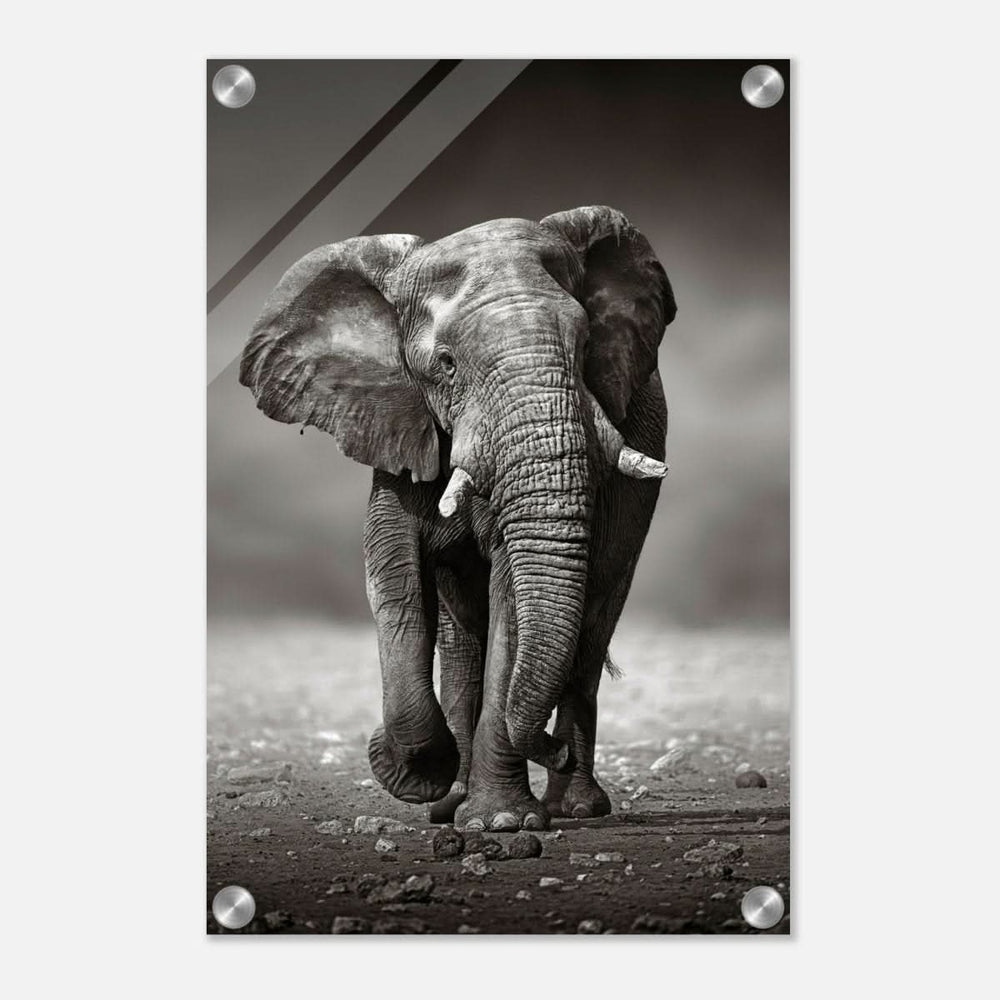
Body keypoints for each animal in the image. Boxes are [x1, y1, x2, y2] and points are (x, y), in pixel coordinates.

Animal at [239, 206, 676, 832]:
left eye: (587, 343)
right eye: (445, 365)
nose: (551, 749)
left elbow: (511, 596)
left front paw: (502, 823)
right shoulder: (398, 422)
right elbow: (393, 577)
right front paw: (419, 775)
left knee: (592, 624)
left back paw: (573, 807)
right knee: (462, 638)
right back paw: (452, 802)